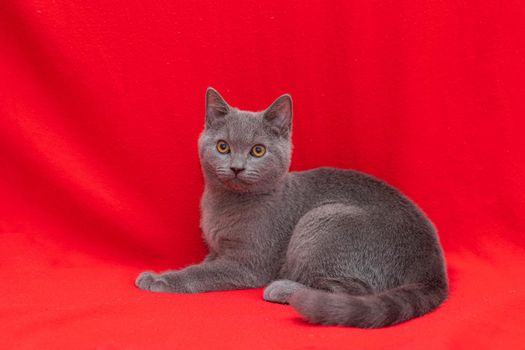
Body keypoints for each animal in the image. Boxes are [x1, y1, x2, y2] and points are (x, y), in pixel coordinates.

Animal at [136, 87, 446, 328]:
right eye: (223, 147)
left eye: (258, 150)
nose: (236, 167)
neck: (224, 205)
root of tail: (433, 269)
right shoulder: (215, 251)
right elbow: (203, 264)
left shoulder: (247, 264)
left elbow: (199, 274)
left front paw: (158, 280)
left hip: (324, 218)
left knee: (354, 290)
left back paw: (283, 289)